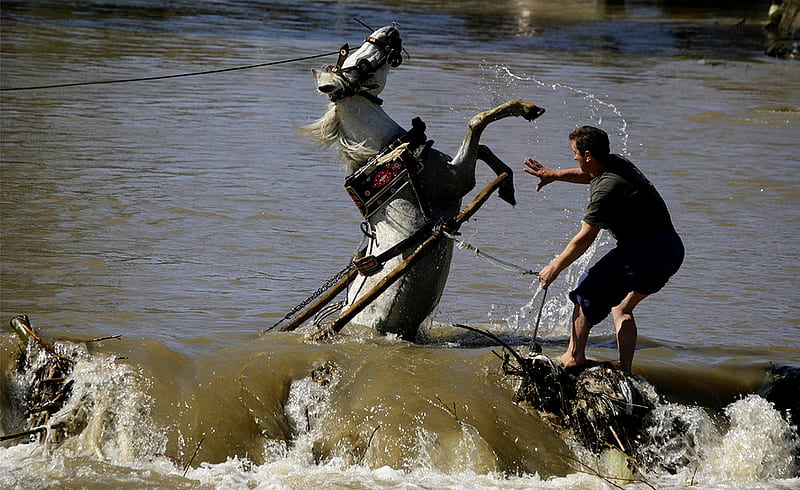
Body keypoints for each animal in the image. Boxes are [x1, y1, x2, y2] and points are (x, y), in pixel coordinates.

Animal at [304, 24, 544, 338]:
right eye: (362, 63)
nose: (390, 31)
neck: (387, 151)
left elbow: (483, 147)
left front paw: (508, 185)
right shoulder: (459, 178)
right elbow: (477, 122)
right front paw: (526, 108)